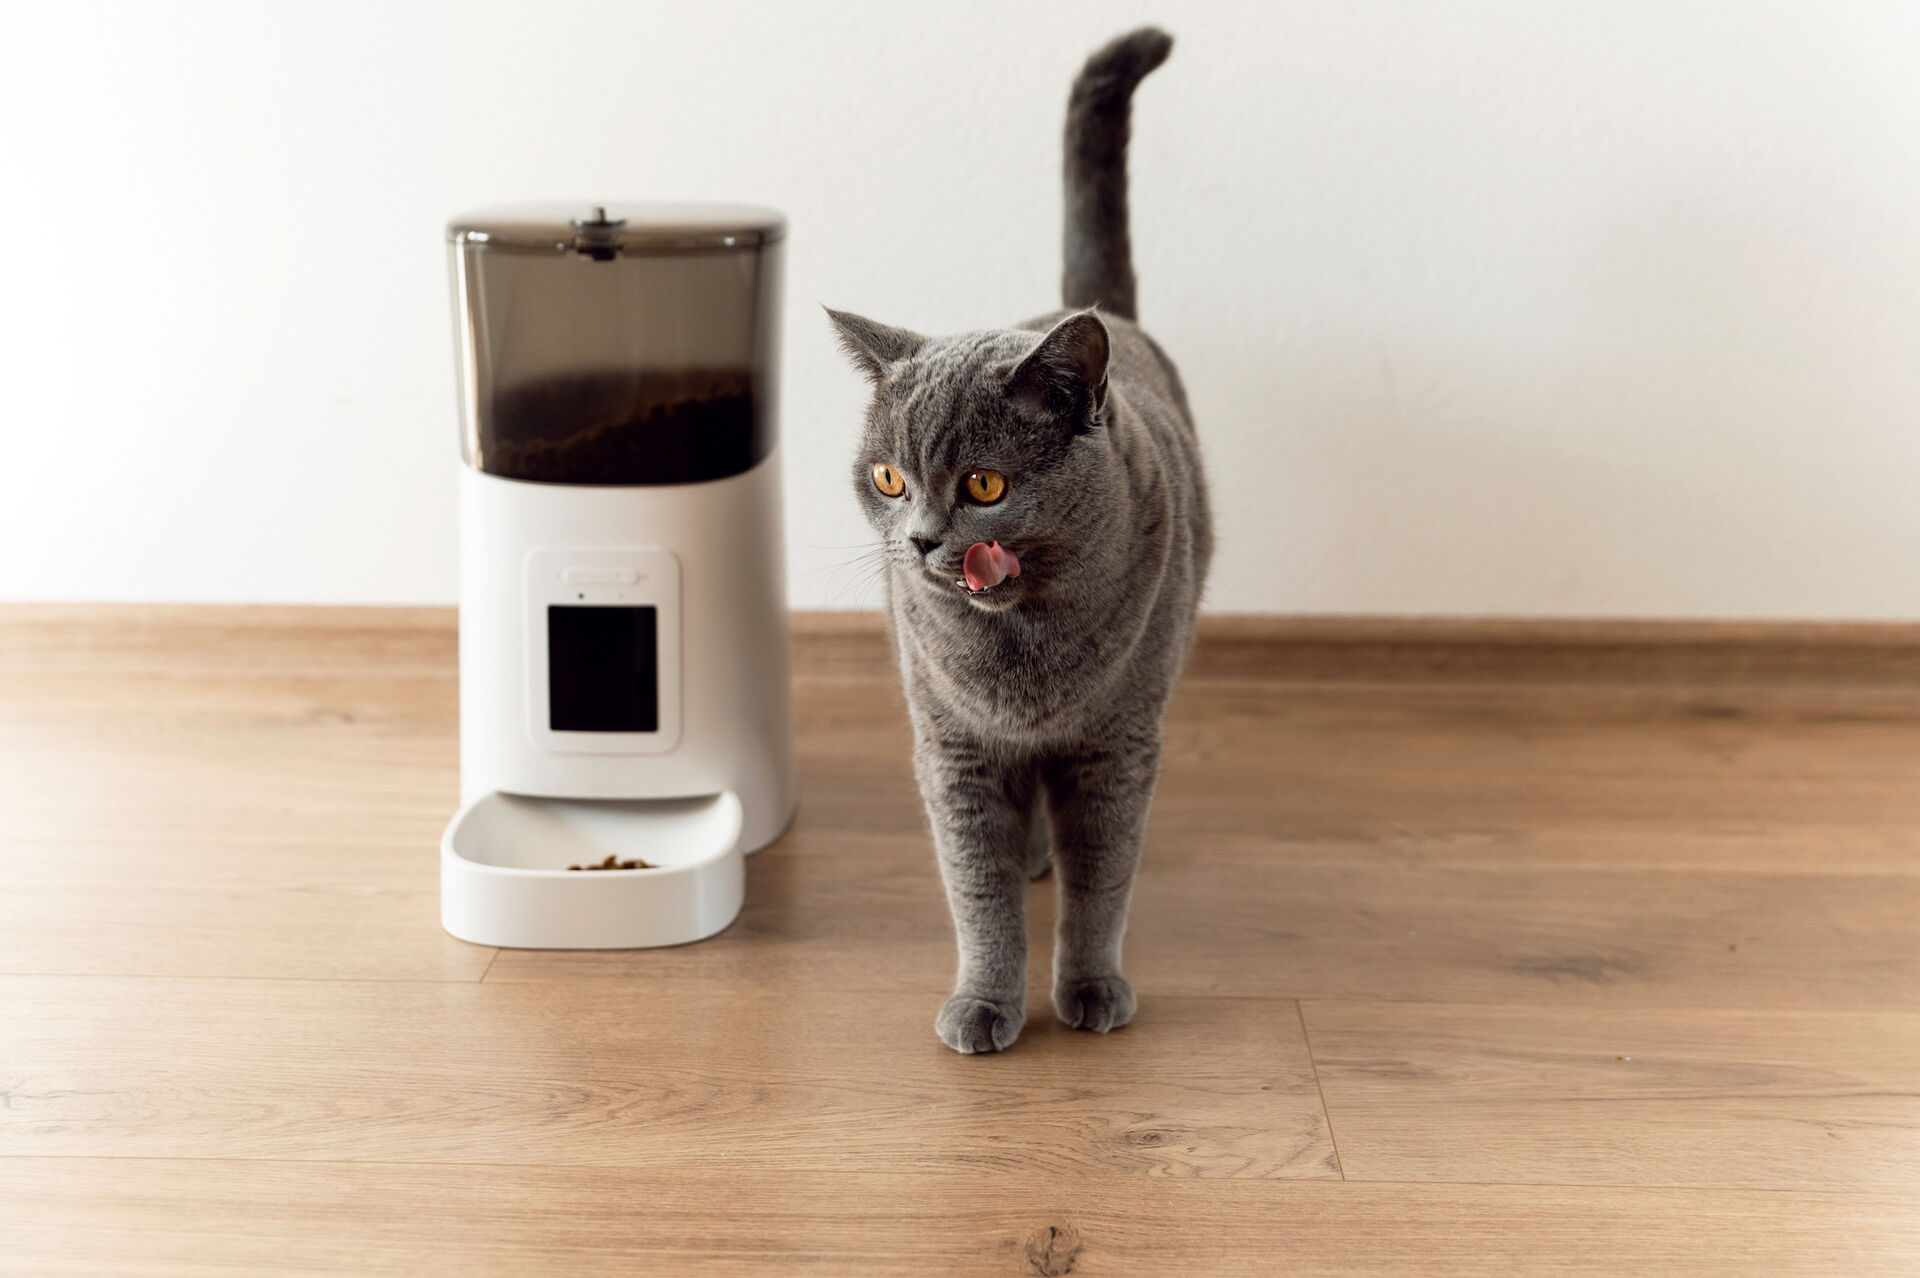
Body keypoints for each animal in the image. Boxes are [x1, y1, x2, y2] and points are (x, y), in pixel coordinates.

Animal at [825, 24, 1213, 1051]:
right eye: (889, 478)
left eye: (985, 485)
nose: (923, 542)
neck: (1022, 651)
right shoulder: (952, 745)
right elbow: (978, 893)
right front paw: (984, 1004)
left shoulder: (1118, 743)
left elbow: (1103, 881)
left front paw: (1091, 988)